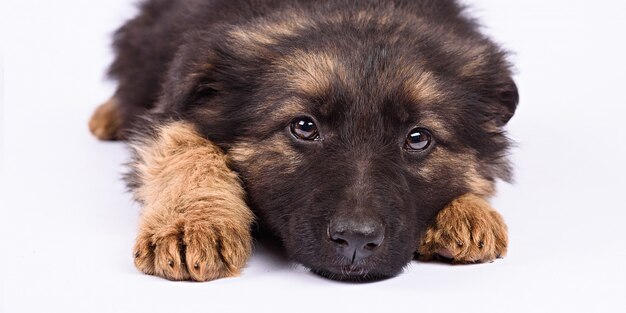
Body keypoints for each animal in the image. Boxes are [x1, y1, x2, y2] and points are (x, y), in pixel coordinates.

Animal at [89, 0, 516, 280]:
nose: (355, 240)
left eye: (417, 138)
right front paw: (192, 222)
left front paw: (468, 212)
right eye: (304, 126)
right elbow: (184, 149)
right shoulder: (171, 111)